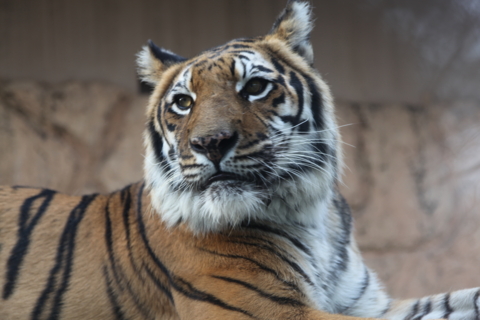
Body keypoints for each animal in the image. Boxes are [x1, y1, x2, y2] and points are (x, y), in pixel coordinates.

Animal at [0, 0, 480, 320]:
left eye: (254, 87)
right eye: (182, 102)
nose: (212, 142)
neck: (311, 217)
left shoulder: (367, 304)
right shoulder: (269, 310)